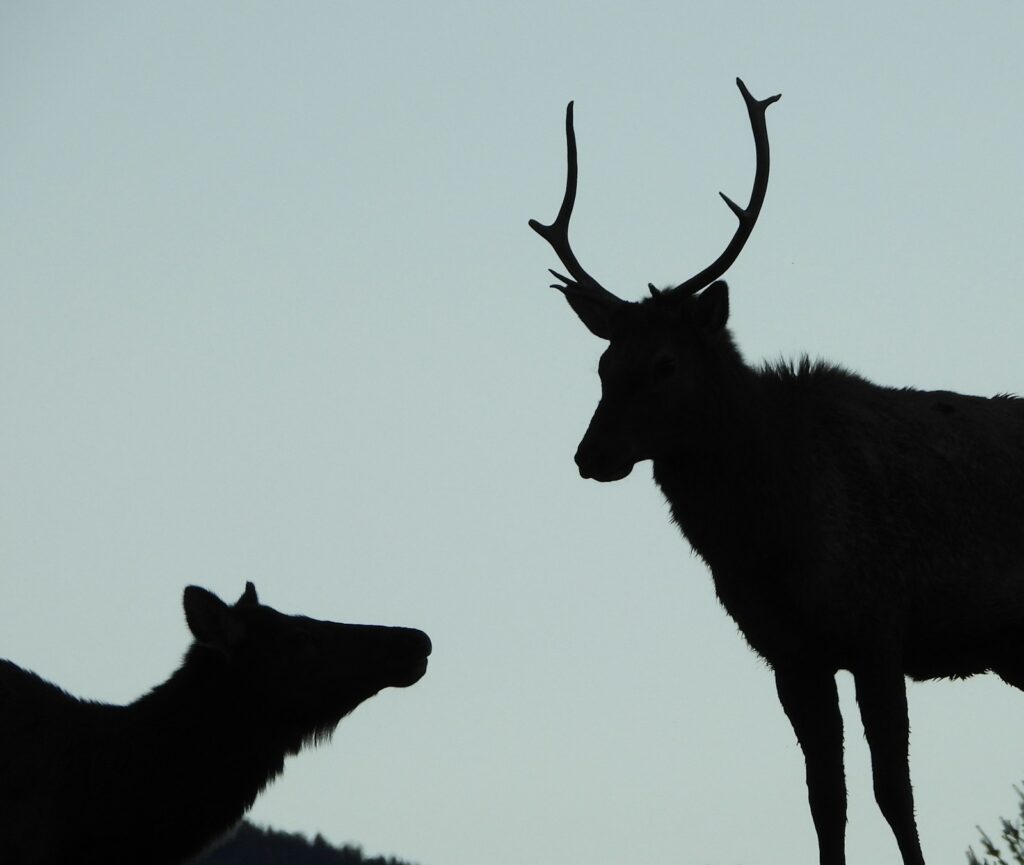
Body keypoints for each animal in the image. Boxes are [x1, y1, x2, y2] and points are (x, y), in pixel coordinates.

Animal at [529, 78, 1024, 865]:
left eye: (665, 362)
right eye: (604, 363)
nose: (591, 455)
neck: (770, 540)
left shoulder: (878, 626)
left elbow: (895, 792)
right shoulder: (790, 656)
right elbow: (825, 801)